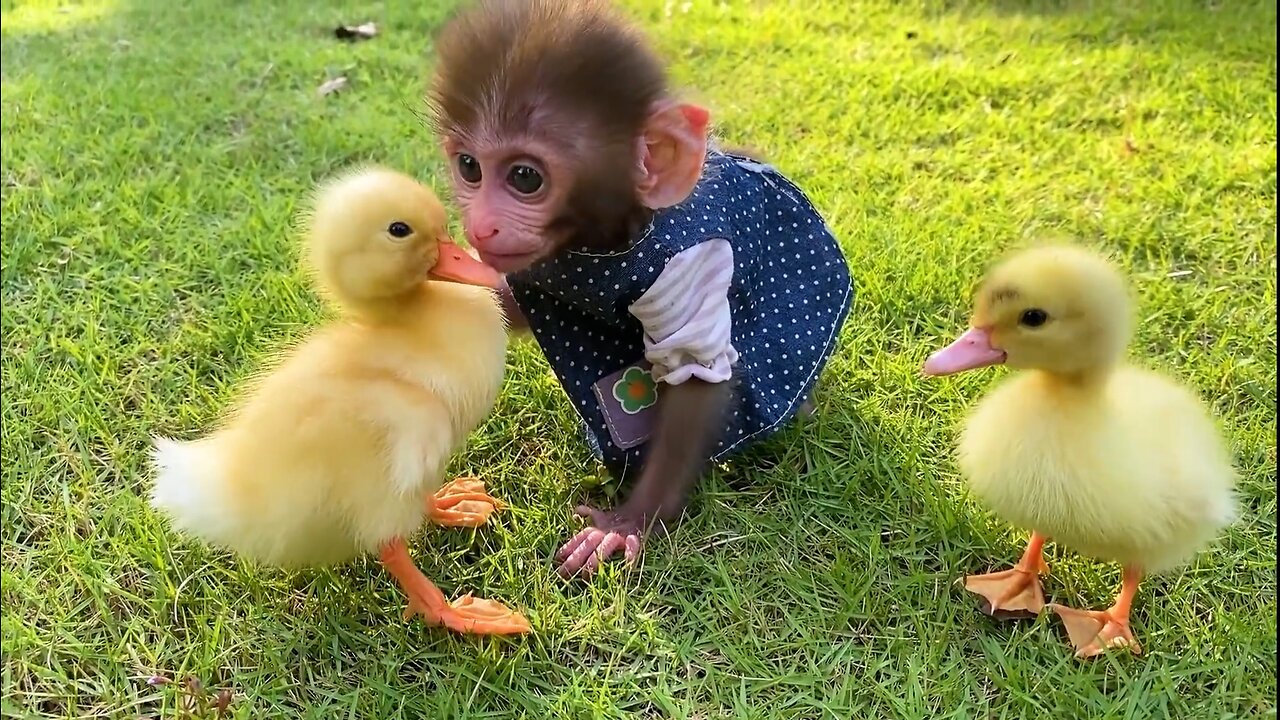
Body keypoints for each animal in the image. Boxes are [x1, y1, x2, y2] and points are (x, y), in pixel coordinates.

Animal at [424, 0, 855, 573]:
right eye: (469, 167)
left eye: (524, 178)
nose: (482, 226)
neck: (607, 239)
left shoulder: (690, 264)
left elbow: (694, 372)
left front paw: (630, 521)